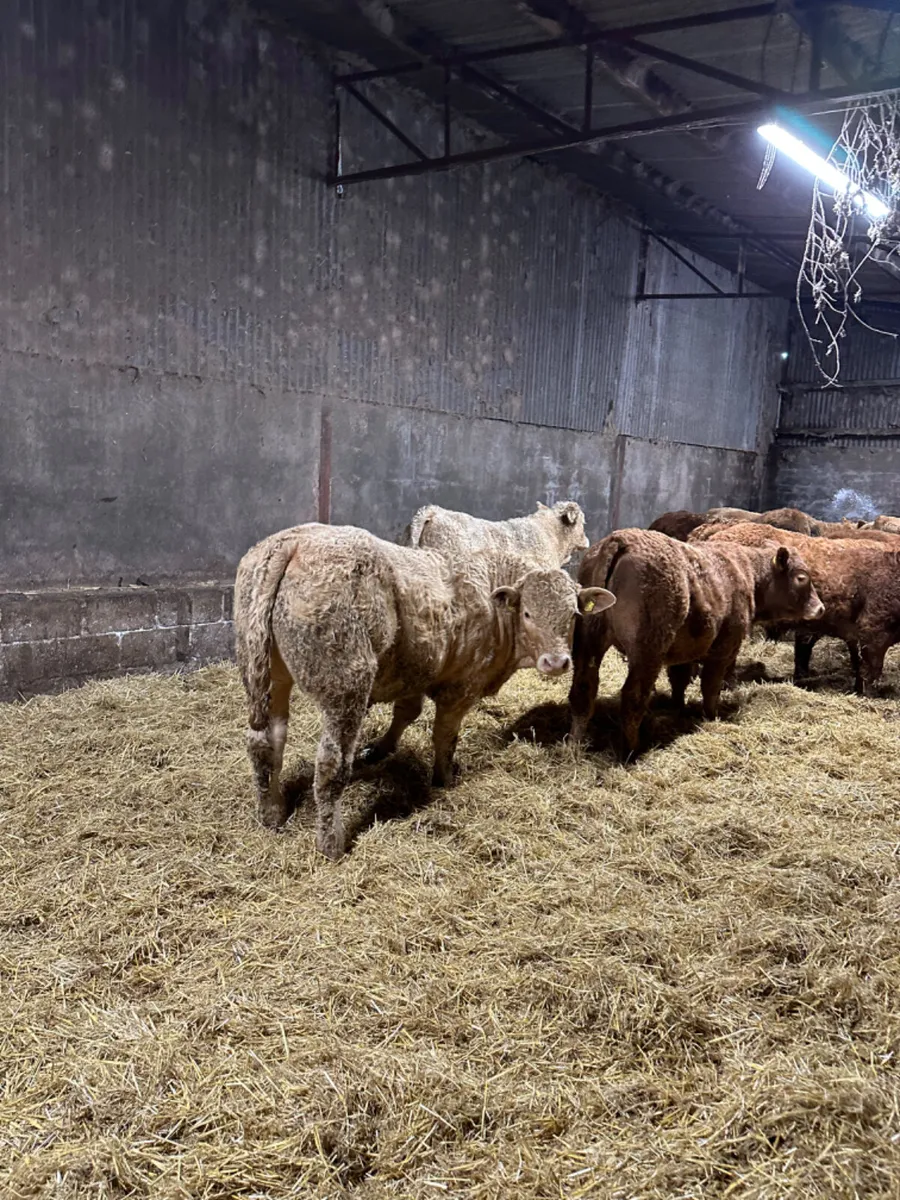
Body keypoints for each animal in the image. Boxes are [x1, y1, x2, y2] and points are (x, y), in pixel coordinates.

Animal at [234, 523, 614, 859]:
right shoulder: (461, 686)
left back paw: (271, 813)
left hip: (264, 674)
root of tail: (293, 541)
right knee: (330, 765)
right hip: (345, 686)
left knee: (266, 743)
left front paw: (381, 748)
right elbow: (444, 735)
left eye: (573, 614)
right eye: (528, 613)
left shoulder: (414, 671)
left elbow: (407, 712)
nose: (557, 662)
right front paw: (444, 778)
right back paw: (332, 844)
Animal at [568, 528, 823, 756]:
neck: (746, 572)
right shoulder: (723, 649)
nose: (820, 608)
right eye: (801, 577)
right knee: (633, 697)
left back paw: (576, 743)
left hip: (589, 642)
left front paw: (677, 708)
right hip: (647, 651)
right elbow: (711, 686)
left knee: (583, 689)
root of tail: (620, 539)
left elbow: (679, 680)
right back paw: (632, 749)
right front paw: (711, 716)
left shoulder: (683, 649)